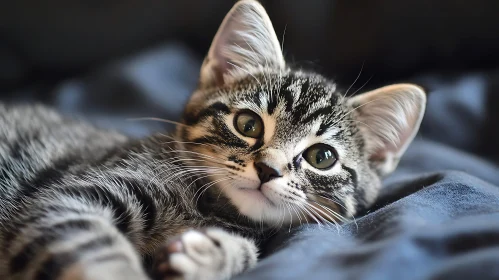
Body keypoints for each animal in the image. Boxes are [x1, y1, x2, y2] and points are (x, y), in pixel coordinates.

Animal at [0, 0, 426, 280]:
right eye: (248, 124)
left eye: (322, 157)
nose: (267, 169)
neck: (214, 209)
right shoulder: (66, 198)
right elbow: (96, 250)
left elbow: (248, 250)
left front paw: (211, 253)